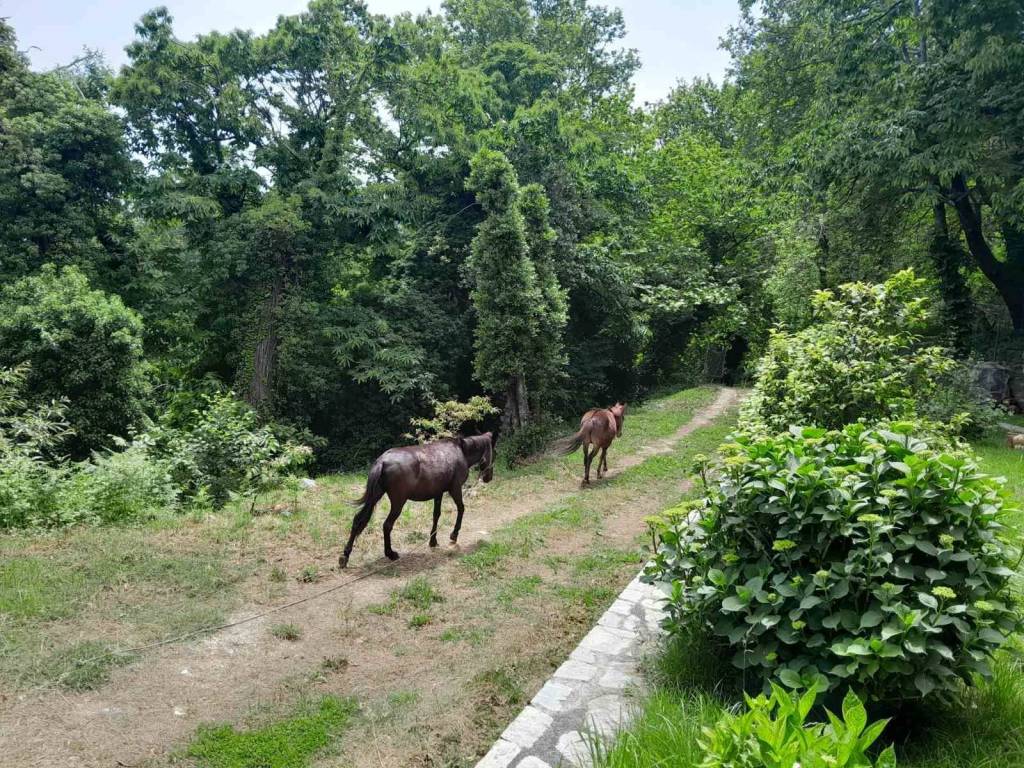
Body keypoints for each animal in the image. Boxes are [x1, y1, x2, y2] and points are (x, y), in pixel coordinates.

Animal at [338, 433, 495, 568]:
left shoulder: (438, 493)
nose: (489, 478)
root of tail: (382, 462)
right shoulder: (455, 489)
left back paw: (345, 556)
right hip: (398, 502)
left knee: (358, 520)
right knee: (387, 525)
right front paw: (453, 536)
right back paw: (391, 554)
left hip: (374, 497)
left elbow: (436, 515)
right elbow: (461, 509)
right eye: (493, 454)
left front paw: (433, 541)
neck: (461, 451)